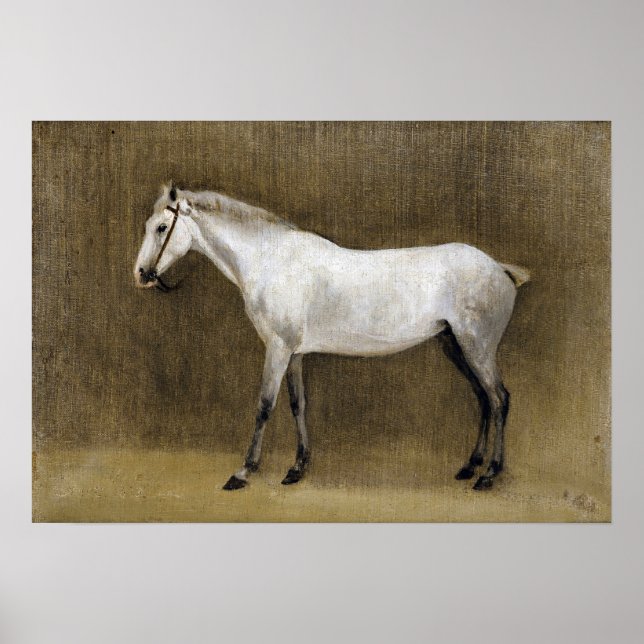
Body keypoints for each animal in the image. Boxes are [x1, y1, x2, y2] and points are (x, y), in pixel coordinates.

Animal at [134, 183, 530, 491]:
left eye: (162, 227)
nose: (141, 274)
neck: (271, 261)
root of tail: (500, 269)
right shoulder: (294, 353)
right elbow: (298, 404)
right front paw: (297, 468)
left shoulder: (277, 349)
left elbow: (264, 405)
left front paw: (244, 471)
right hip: (454, 345)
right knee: (483, 398)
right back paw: (470, 467)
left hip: (477, 347)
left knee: (499, 399)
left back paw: (489, 475)